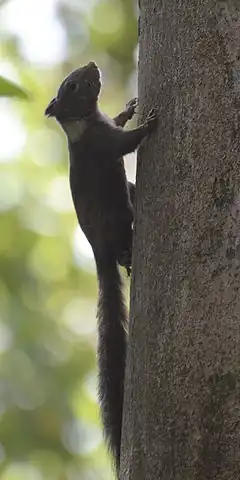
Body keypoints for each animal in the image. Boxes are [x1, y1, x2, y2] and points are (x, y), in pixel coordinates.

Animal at [45, 61, 158, 476]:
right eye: (73, 86)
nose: (92, 65)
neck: (86, 122)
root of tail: (99, 254)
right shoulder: (104, 144)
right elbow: (127, 144)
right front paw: (149, 123)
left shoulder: (105, 125)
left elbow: (119, 122)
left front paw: (129, 108)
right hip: (117, 225)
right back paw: (127, 257)